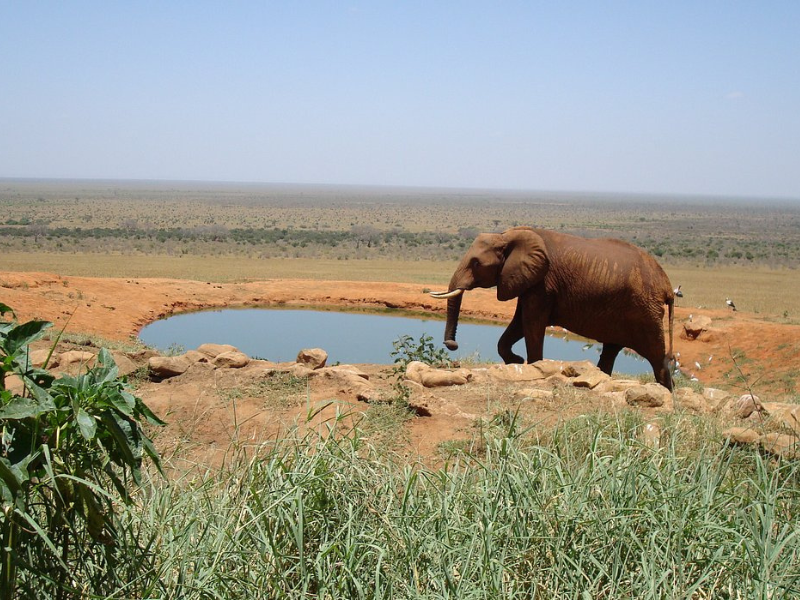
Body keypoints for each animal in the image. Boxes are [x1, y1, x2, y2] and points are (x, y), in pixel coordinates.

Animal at [431, 226, 675, 390]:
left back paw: (667, 393)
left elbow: (531, 324)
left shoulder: (543, 284)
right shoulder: (528, 281)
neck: (507, 236)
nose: (453, 345)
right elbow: (518, 324)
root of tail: (668, 286)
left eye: (476, 263)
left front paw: (530, 366)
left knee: (657, 357)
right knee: (610, 350)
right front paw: (517, 361)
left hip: (645, 311)